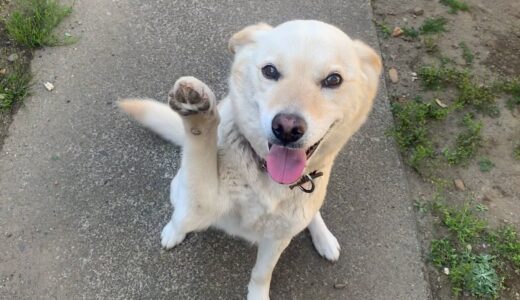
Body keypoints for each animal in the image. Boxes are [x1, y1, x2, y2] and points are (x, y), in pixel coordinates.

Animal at [119, 19, 382, 298]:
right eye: (270, 71)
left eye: (333, 79)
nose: (286, 128)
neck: (266, 173)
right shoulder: (199, 206)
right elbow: (199, 144)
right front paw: (197, 112)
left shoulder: (277, 239)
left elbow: (261, 274)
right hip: (178, 190)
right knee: (179, 214)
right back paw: (173, 231)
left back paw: (323, 237)